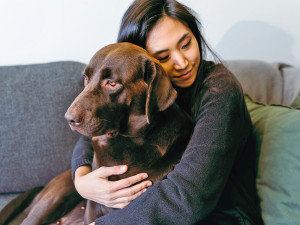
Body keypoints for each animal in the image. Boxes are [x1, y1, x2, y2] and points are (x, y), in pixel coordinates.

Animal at [0, 42, 192, 225]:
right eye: (86, 77)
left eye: (112, 83)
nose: (69, 118)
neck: (128, 142)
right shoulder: (95, 203)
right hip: (56, 197)